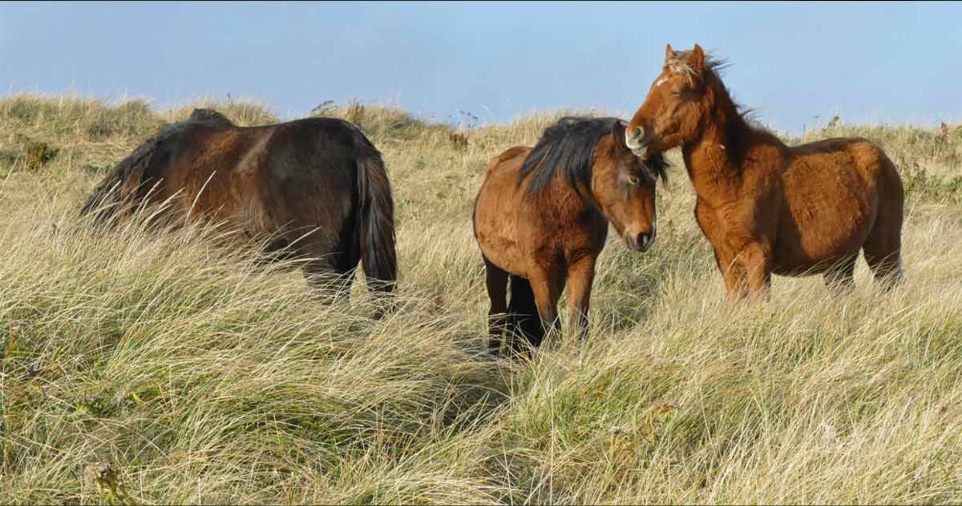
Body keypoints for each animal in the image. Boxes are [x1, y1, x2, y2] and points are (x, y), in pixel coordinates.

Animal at [473, 116, 668, 358]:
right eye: (633, 178)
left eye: (654, 180)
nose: (645, 236)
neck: (554, 204)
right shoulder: (539, 267)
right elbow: (551, 322)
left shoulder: (582, 262)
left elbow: (578, 320)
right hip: (496, 267)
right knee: (497, 314)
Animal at [624, 44, 905, 301]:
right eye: (652, 87)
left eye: (677, 91)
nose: (633, 135)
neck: (734, 176)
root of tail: (882, 158)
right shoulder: (725, 258)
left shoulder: (757, 255)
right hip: (839, 263)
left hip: (883, 251)